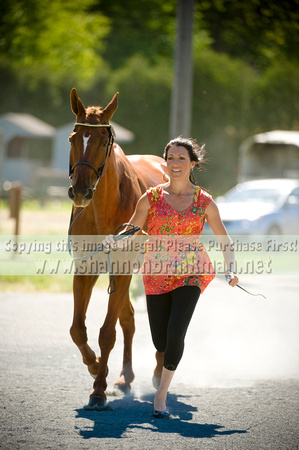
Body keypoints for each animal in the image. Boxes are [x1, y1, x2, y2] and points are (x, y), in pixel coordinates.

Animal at [67, 89, 166, 412]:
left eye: (102, 142)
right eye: (73, 138)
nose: (80, 191)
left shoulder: (122, 269)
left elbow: (107, 333)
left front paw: (98, 390)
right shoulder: (86, 268)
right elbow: (78, 329)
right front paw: (97, 366)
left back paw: (158, 371)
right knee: (129, 318)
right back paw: (125, 375)